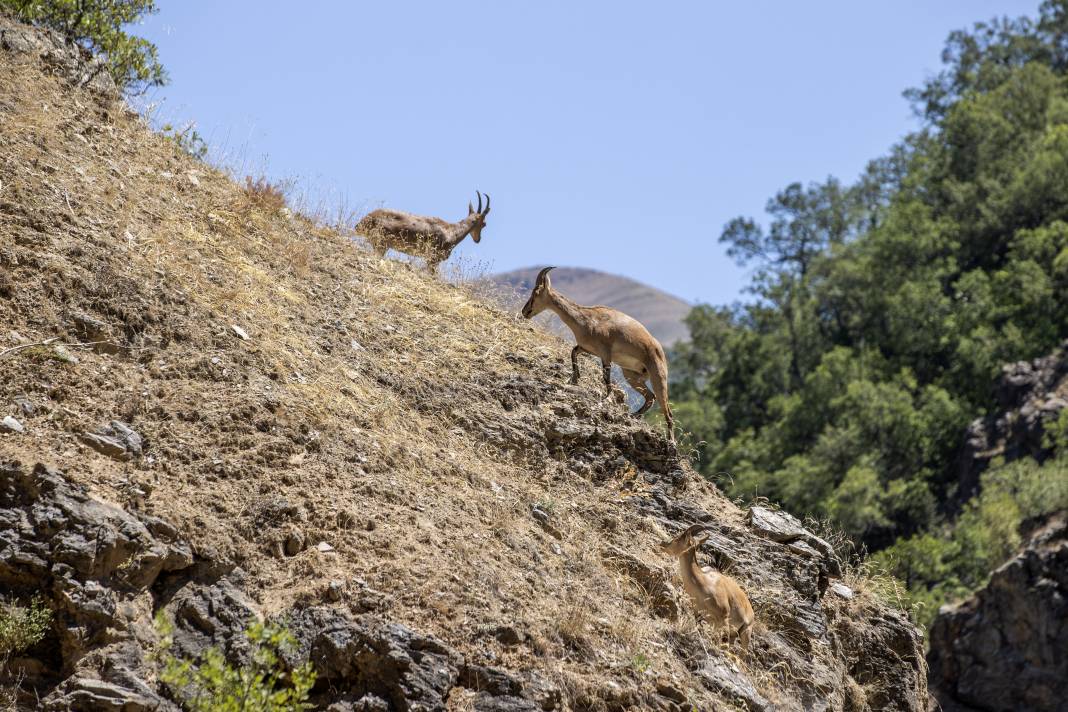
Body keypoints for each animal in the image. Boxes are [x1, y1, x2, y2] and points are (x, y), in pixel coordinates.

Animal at [358, 192, 491, 273]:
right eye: (484, 224)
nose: (478, 240)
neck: (452, 231)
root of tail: (363, 221)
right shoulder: (432, 259)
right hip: (381, 244)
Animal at [519, 265, 674, 439]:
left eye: (535, 292)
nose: (525, 311)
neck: (588, 318)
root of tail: (658, 349)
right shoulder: (588, 349)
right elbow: (573, 352)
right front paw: (574, 379)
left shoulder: (606, 354)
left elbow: (606, 378)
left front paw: (606, 399)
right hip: (631, 376)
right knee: (650, 398)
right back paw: (634, 415)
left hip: (658, 378)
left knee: (668, 412)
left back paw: (671, 441)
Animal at [662, 523, 756, 653]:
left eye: (678, 538)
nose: (663, 544)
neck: (704, 583)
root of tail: (751, 610)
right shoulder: (698, 613)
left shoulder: (724, 617)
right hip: (734, 633)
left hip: (746, 631)